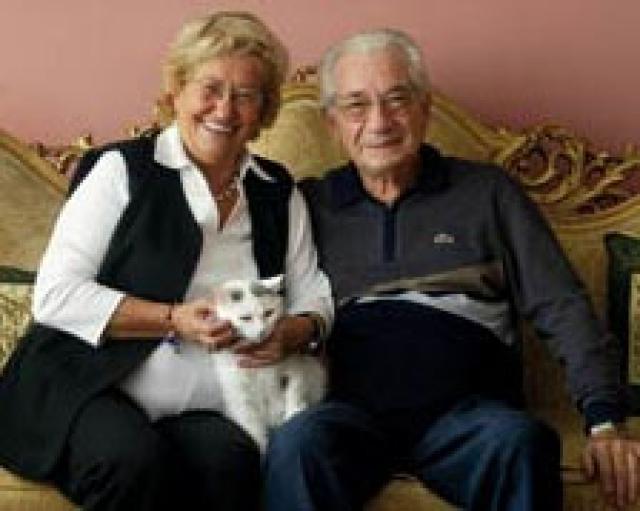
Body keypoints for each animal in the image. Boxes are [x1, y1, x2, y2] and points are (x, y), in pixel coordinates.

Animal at [211, 274, 327, 452]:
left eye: (268, 313)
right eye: (245, 318)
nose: (262, 331)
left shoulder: (296, 365)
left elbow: (294, 390)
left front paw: (294, 413)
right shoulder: (239, 396)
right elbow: (254, 429)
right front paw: (263, 451)